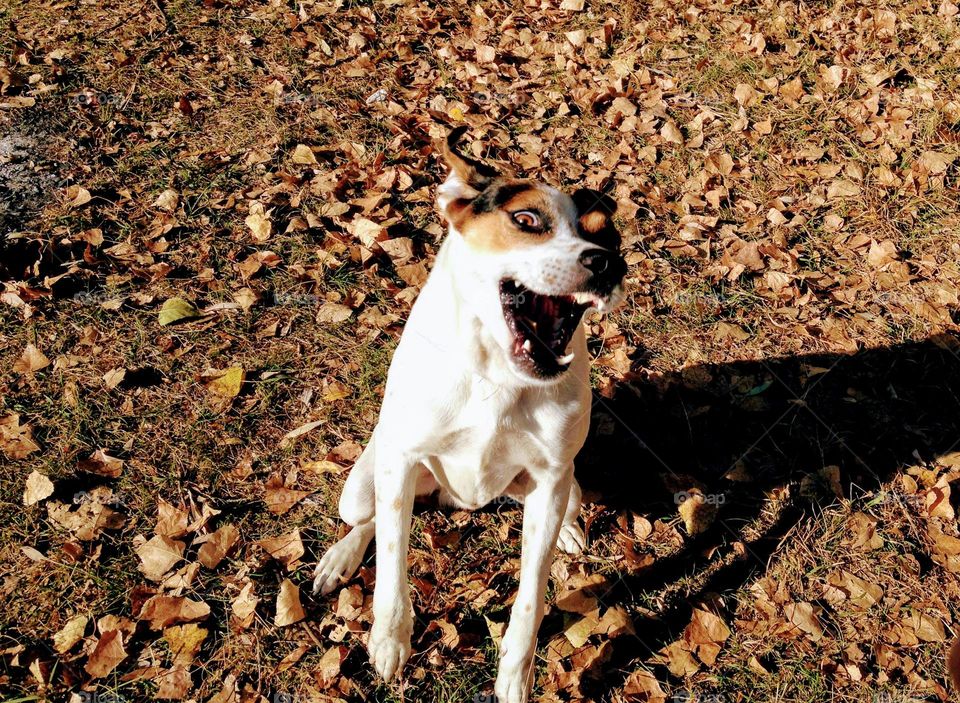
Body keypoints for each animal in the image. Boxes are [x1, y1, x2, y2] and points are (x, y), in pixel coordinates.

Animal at [316, 128, 632, 703]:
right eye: (526, 219)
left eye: (610, 238)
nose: (609, 264)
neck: (498, 374)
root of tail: (457, 501)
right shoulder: (401, 457)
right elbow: (392, 561)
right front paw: (390, 641)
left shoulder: (551, 479)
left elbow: (530, 599)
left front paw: (514, 677)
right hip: (363, 482)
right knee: (370, 519)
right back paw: (339, 559)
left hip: (566, 488)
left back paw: (569, 533)